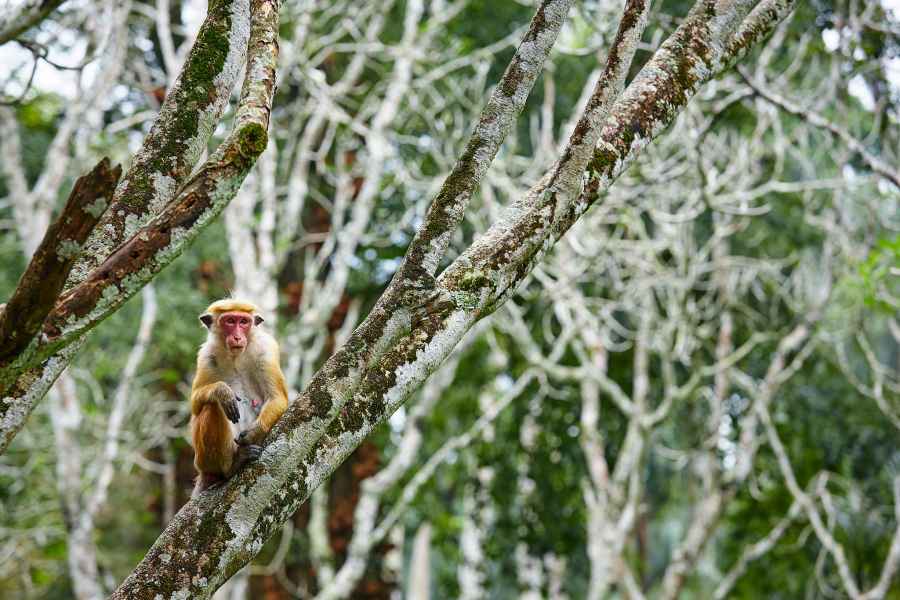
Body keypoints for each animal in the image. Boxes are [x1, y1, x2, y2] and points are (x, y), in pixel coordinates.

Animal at [190, 298, 289, 495]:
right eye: (230, 321)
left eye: (243, 322)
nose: (237, 337)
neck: (236, 356)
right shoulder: (206, 355)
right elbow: (195, 403)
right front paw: (221, 391)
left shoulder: (267, 349)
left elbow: (277, 397)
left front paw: (254, 432)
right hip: (202, 461)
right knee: (211, 407)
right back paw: (231, 466)